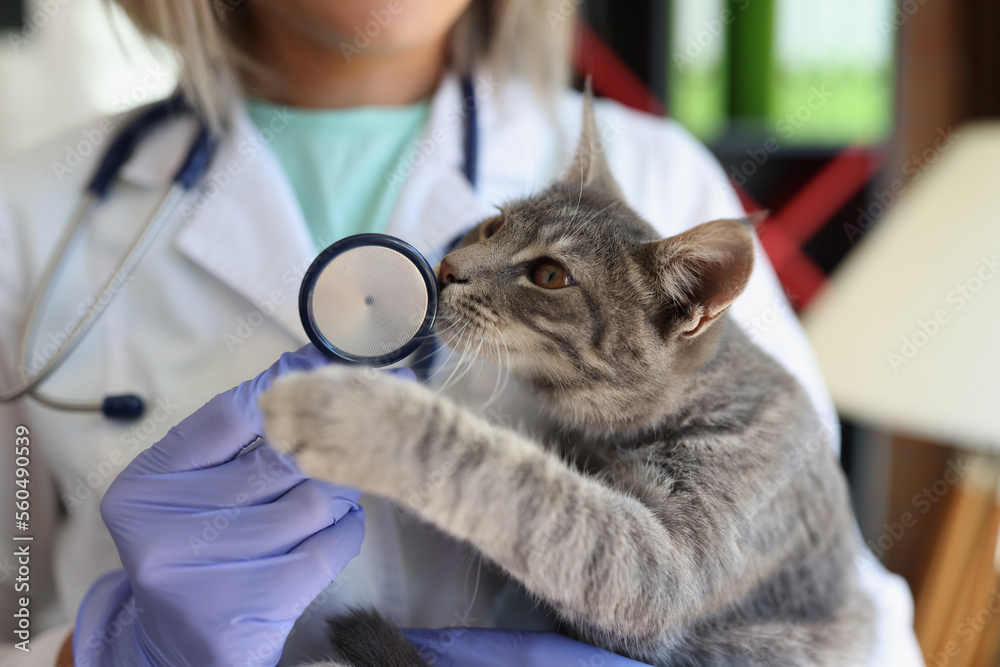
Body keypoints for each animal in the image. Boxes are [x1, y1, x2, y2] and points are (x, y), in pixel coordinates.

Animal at [260, 91, 876, 664]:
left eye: (550, 276)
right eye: (495, 224)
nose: (448, 268)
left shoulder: (663, 564)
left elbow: (515, 479)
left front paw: (361, 415)